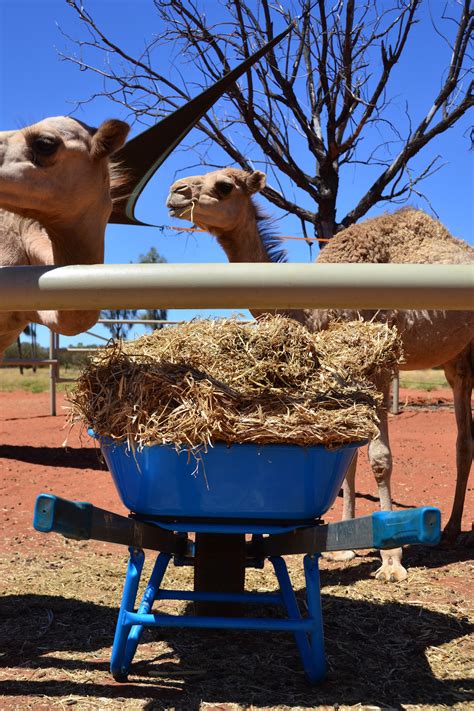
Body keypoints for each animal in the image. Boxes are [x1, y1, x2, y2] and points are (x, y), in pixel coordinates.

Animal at [168, 168, 474, 584]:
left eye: (224, 186)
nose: (175, 192)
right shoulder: (343, 369)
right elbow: (347, 456)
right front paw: (343, 549)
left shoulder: (380, 365)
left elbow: (380, 458)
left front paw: (392, 561)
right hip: (455, 357)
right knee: (463, 438)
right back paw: (453, 529)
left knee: (462, 438)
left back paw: (452, 532)